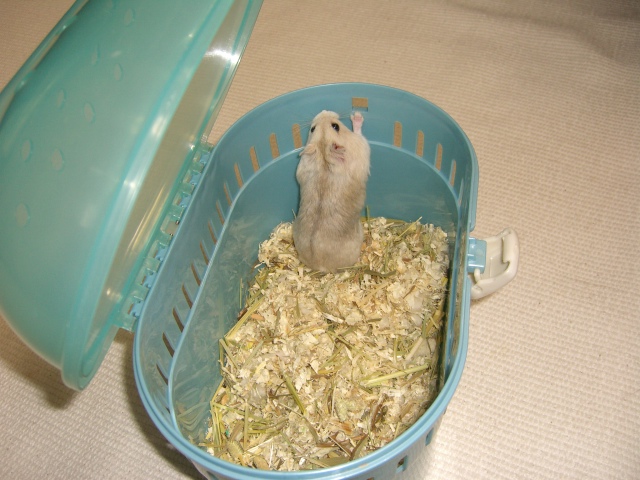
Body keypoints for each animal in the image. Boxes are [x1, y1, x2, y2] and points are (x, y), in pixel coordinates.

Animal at [293, 110, 371, 272]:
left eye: (312, 129)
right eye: (336, 126)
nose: (324, 111)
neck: (323, 154)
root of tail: (320, 267)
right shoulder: (361, 146)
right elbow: (359, 133)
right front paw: (357, 116)